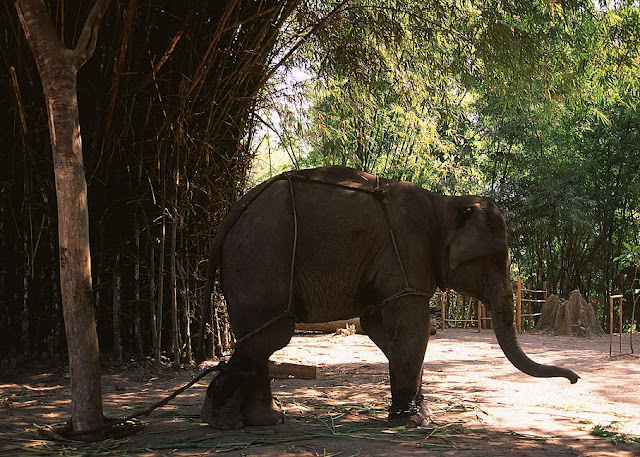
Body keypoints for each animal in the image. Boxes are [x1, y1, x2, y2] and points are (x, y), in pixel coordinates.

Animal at [196, 166, 580, 430]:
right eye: (498, 259)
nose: (575, 380)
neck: (444, 203)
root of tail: (232, 214)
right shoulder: (407, 253)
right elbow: (413, 327)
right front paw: (415, 422)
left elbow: (381, 328)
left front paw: (415, 413)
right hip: (259, 262)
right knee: (270, 333)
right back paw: (223, 422)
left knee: (260, 337)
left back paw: (265, 420)